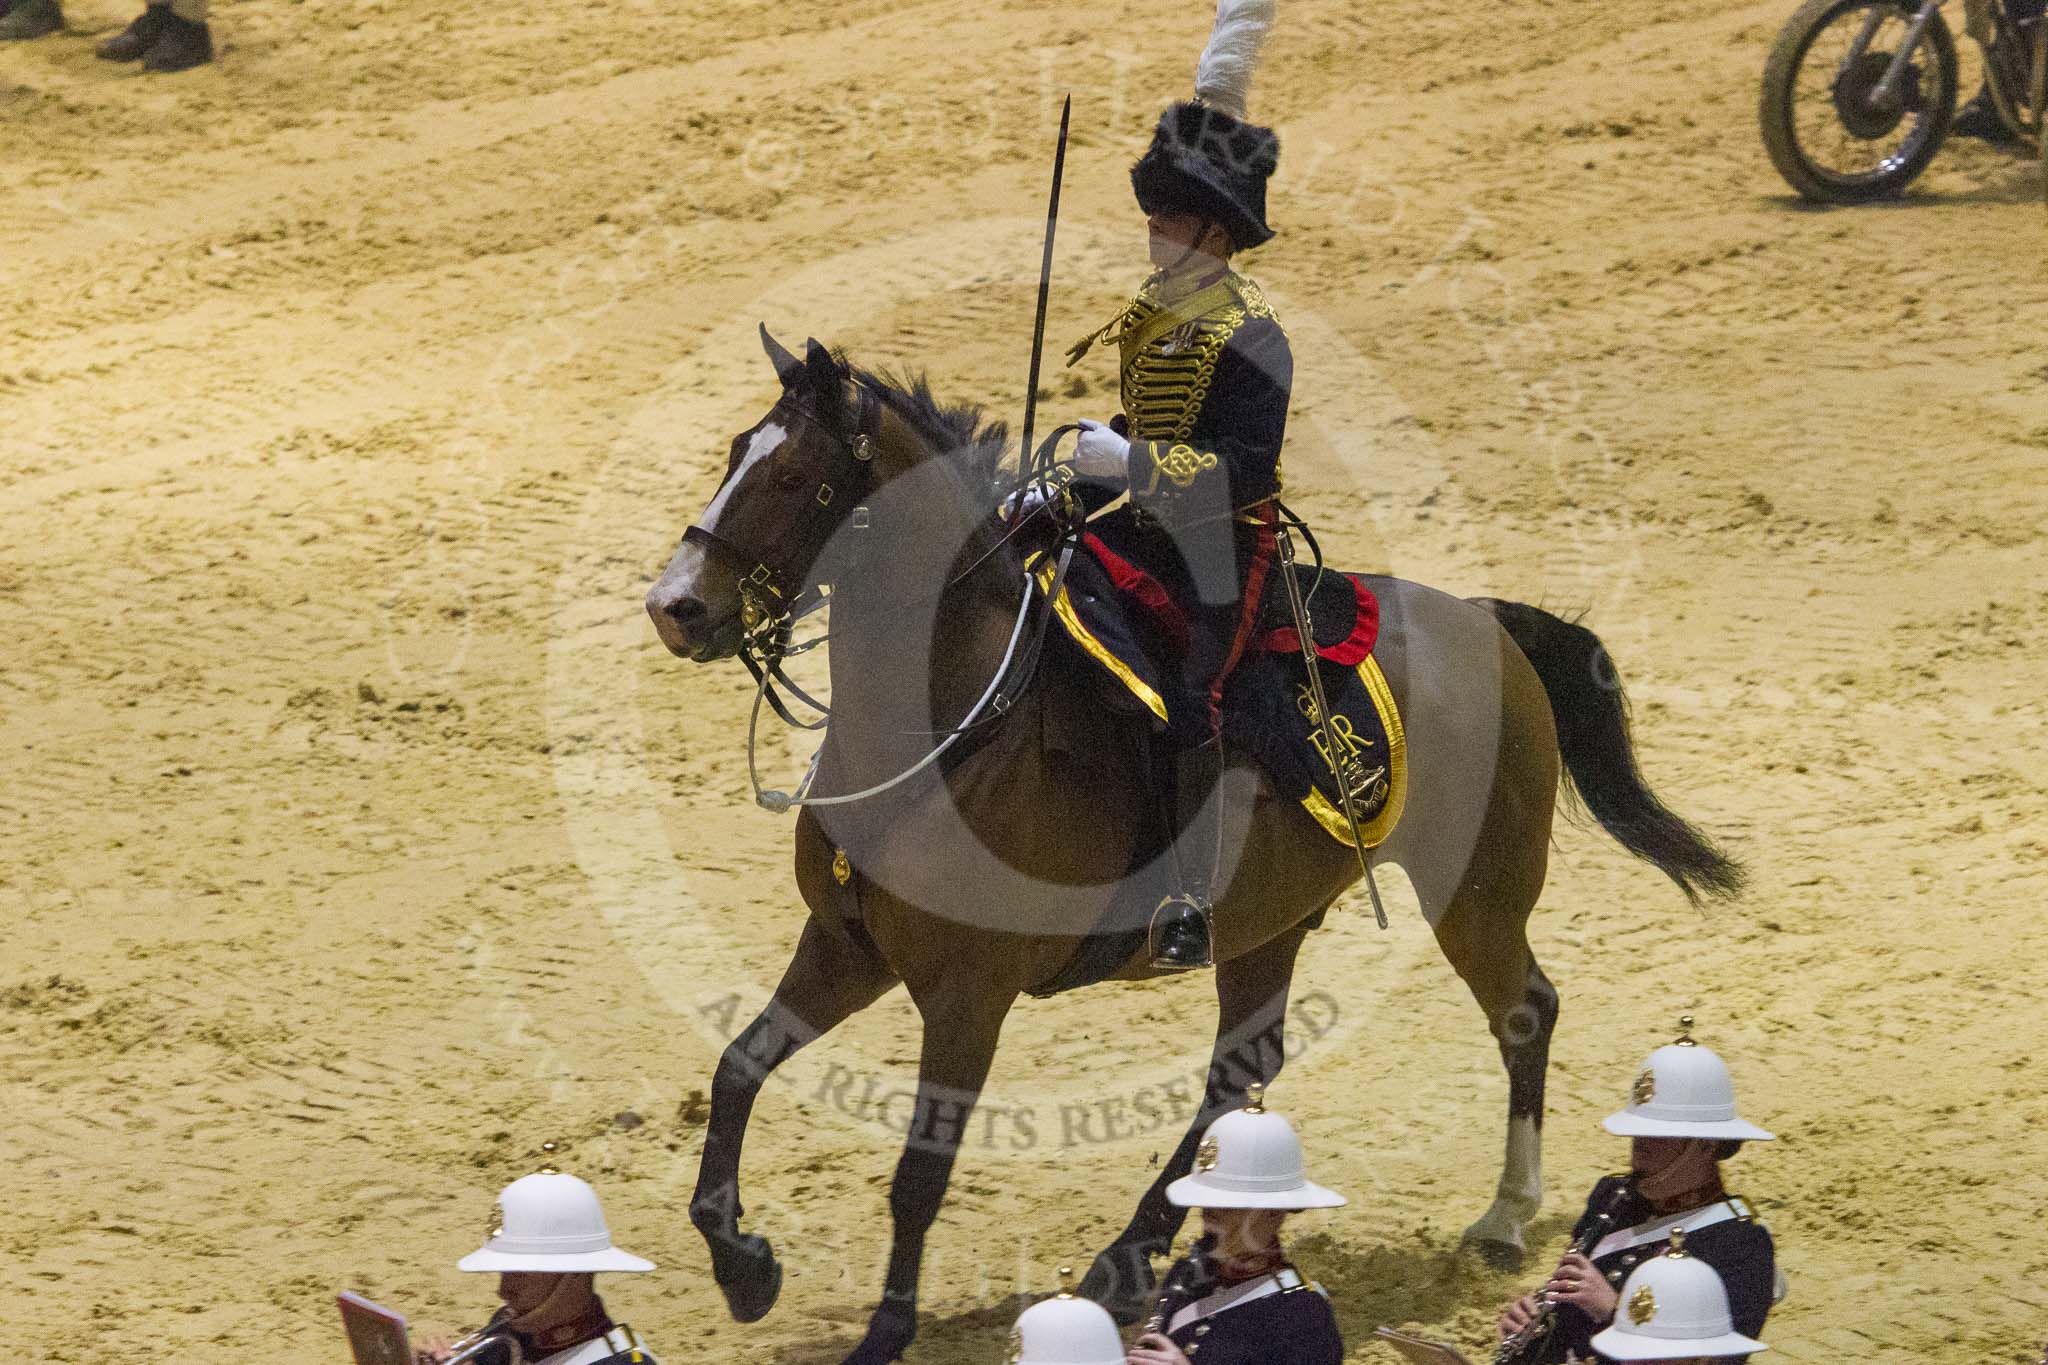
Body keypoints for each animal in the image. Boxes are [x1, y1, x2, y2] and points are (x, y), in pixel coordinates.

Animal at [647, 331, 1736, 1365]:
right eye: (736, 452)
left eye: (797, 476)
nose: (675, 605)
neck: (948, 726)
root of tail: (1485, 622)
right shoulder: (844, 947)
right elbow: (738, 1070)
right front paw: (744, 1266)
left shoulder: (968, 995)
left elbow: (920, 1170)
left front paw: (881, 1333)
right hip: (1268, 923)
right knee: (1243, 1067)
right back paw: (1127, 1263)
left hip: (1475, 893)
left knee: (1523, 1011)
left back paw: (1503, 1216)